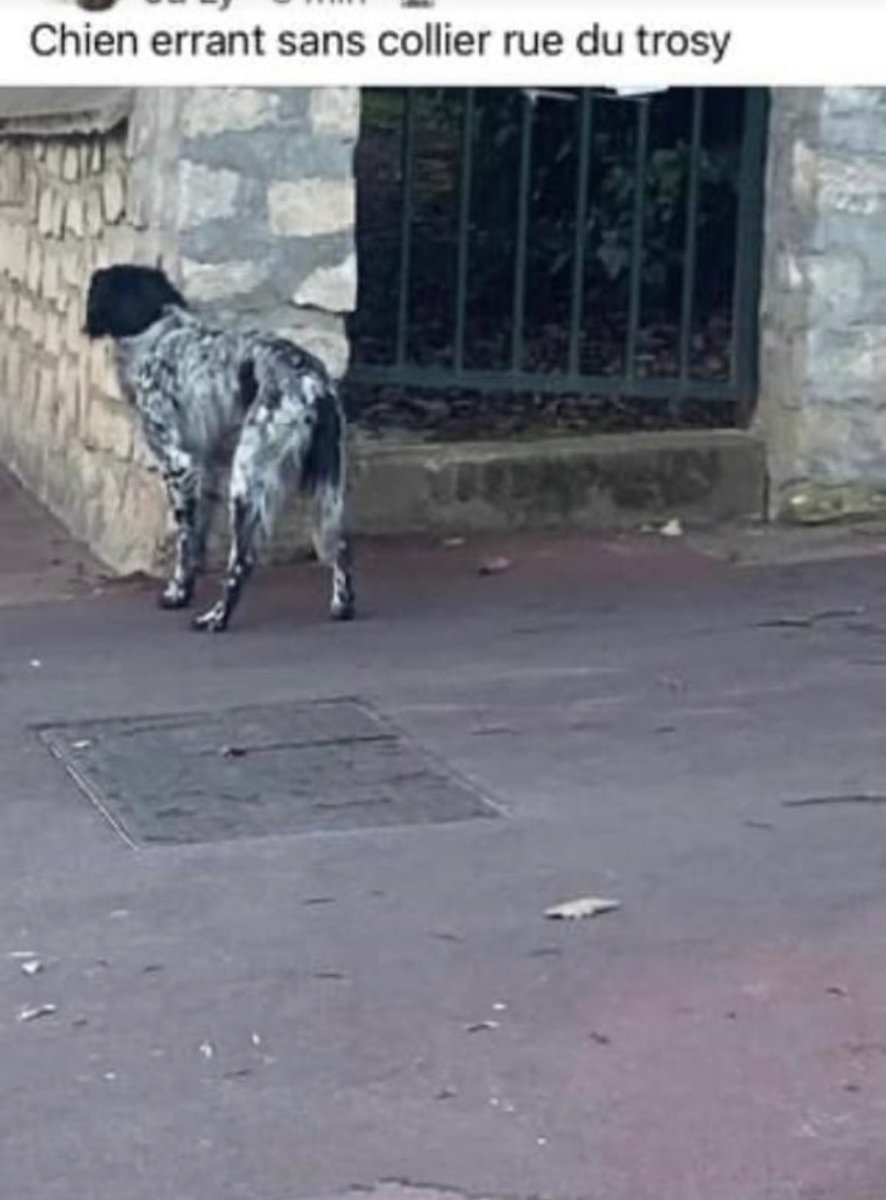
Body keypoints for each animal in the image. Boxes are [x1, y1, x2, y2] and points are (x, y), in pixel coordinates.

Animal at [83, 264, 355, 633]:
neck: (158, 333)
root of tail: (313, 384)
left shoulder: (179, 464)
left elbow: (185, 539)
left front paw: (177, 593)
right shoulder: (203, 463)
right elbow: (197, 536)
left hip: (246, 480)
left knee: (243, 560)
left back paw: (216, 618)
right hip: (327, 486)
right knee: (339, 544)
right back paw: (342, 605)